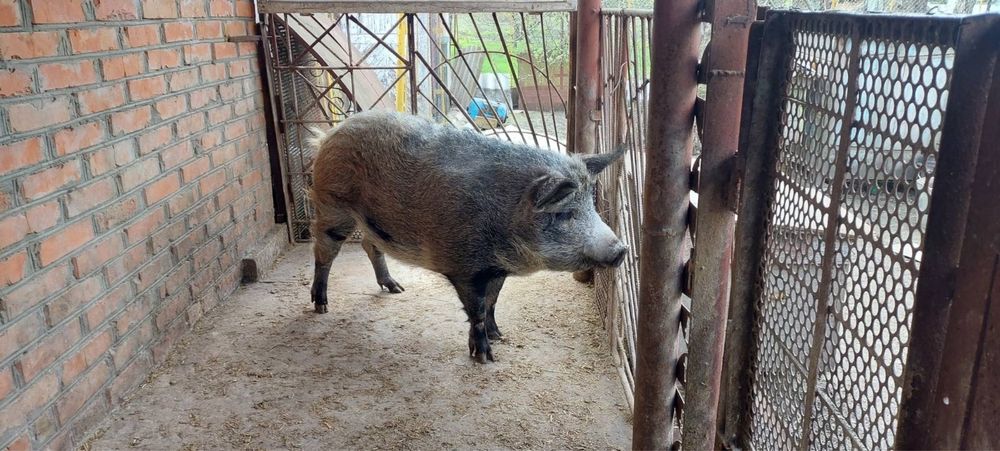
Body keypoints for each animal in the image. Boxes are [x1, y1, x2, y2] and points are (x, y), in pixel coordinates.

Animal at [308, 111, 627, 363]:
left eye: (591, 205)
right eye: (564, 213)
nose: (621, 250)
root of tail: (330, 134)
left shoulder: (496, 269)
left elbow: (493, 302)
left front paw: (500, 336)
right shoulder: (464, 267)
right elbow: (478, 310)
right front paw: (485, 357)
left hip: (371, 222)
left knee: (369, 244)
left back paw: (396, 288)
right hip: (332, 206)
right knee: (323, 252)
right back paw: (321, 306)